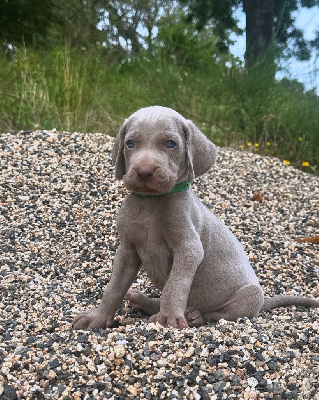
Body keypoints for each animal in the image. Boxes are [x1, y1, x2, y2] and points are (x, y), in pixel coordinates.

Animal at [72, 105, 319, 328]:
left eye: (170, 143)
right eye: (130, 143)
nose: (144, 171)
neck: (151, 202)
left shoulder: (188, 248)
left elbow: (175, 286)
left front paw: (168, 318)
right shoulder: (127, 251)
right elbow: (113, 288)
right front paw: (97, 318)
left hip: (250, 295)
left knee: (215, 313)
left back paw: (194, 315)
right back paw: (142, 301)